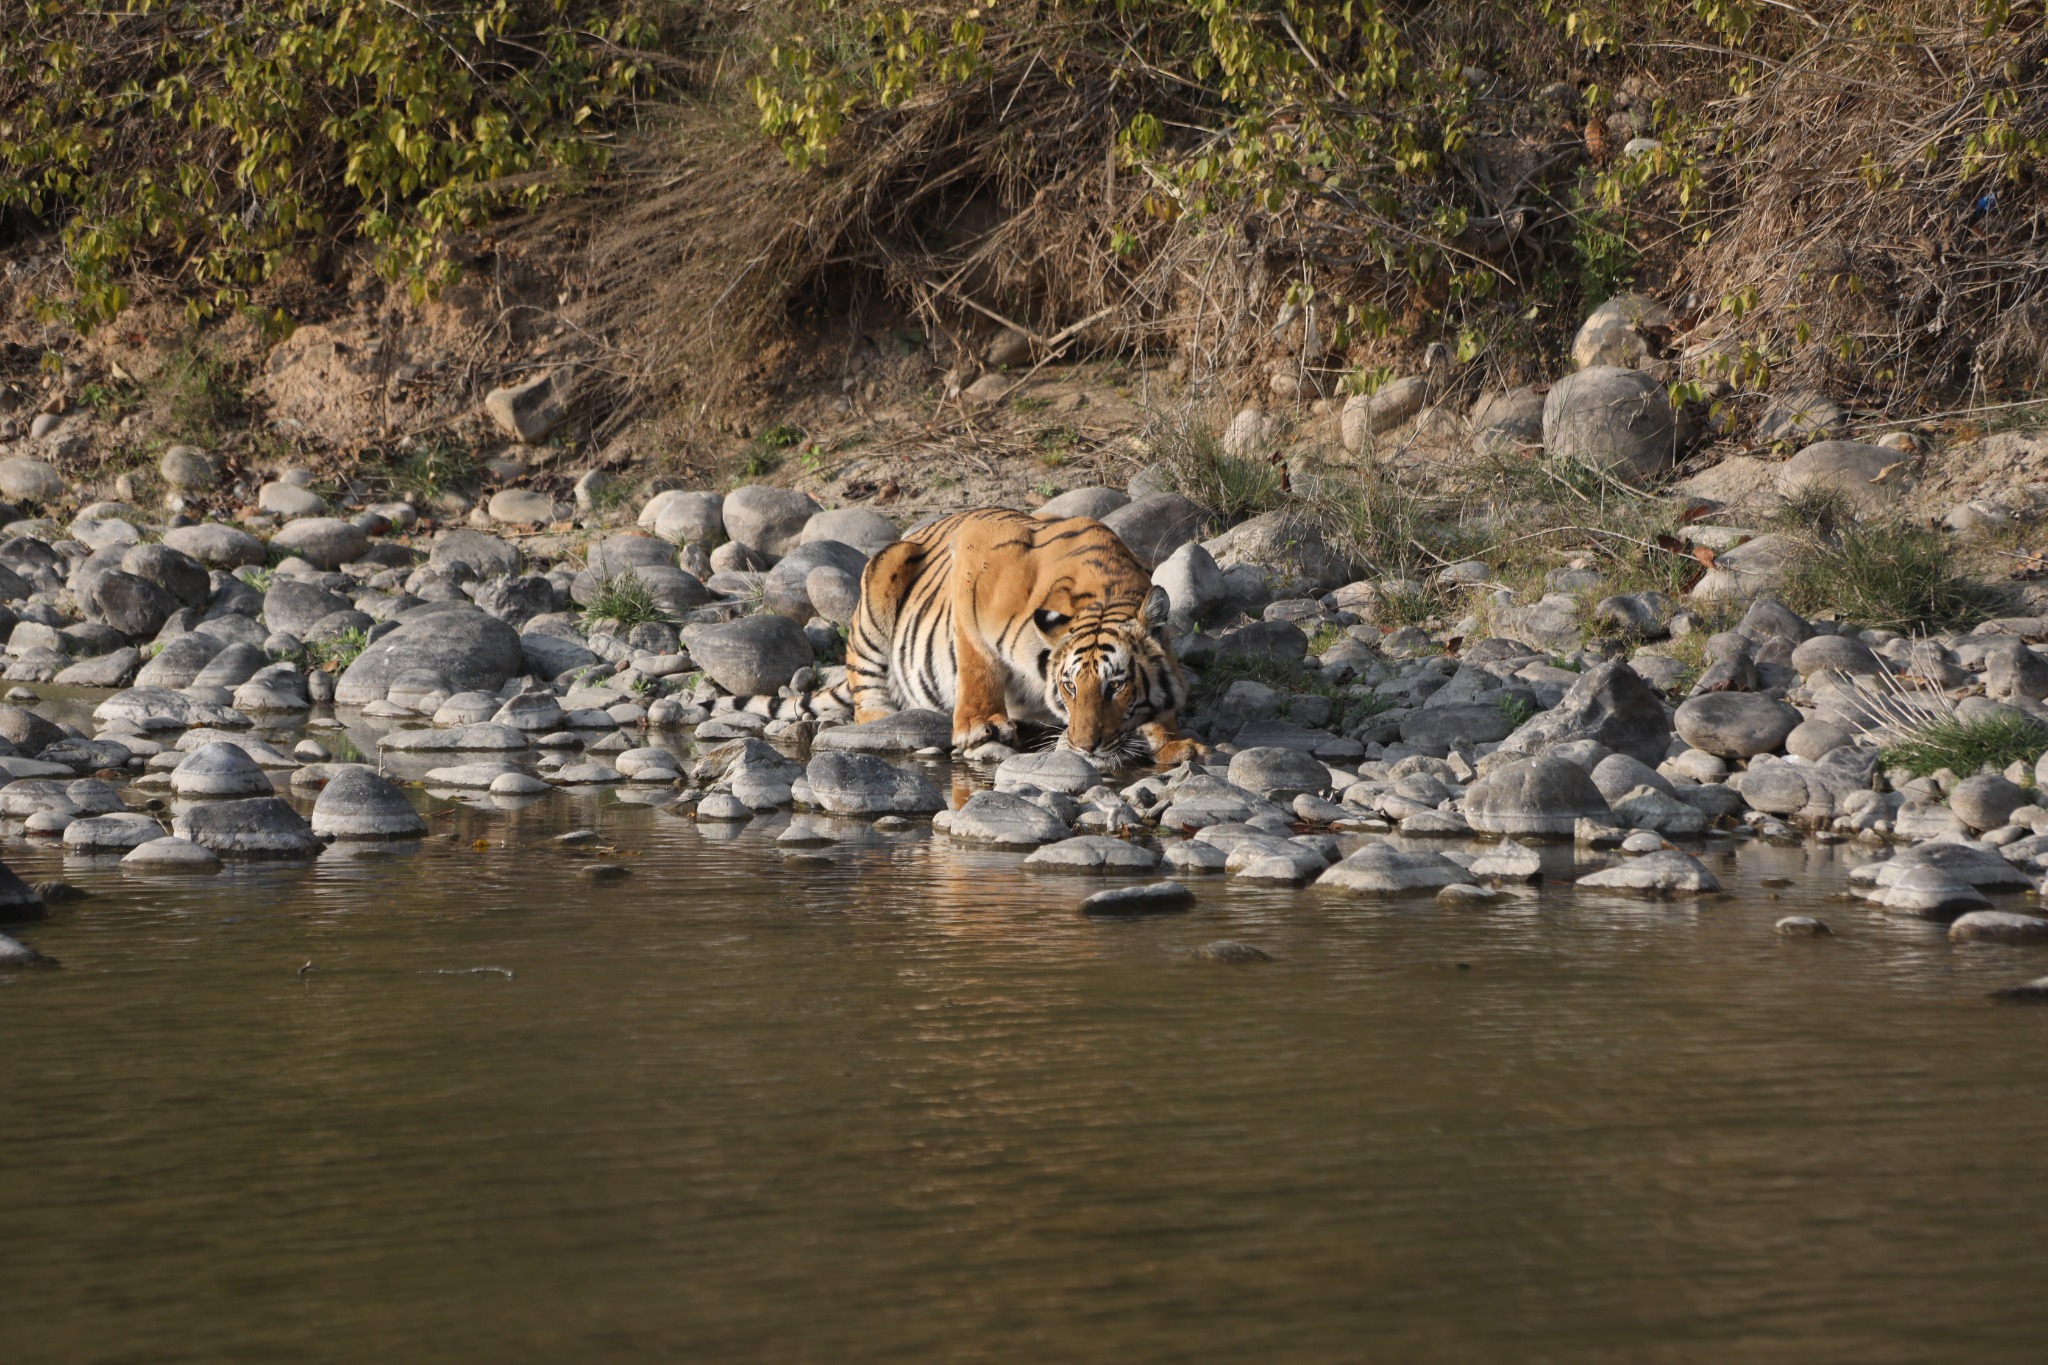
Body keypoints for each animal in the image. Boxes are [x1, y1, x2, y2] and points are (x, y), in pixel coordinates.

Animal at [843, 507, 1203, 765]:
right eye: (1070, 686)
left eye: (1115, 686)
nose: (1085, 747)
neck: (1107, 593)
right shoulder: (974, 557)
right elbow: (977, 662)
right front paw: (980, 726)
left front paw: (1175, 744)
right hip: (882, 583)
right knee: (867, 699)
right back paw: (887, 723)